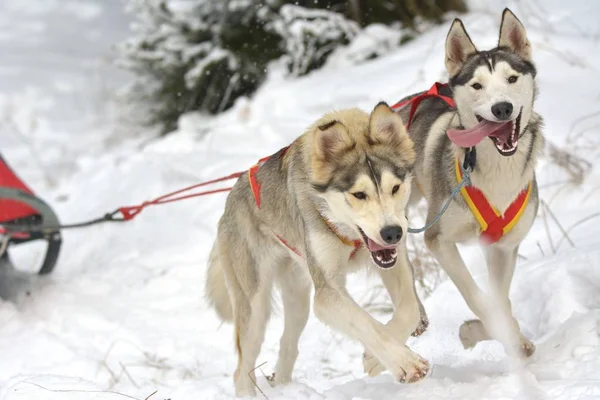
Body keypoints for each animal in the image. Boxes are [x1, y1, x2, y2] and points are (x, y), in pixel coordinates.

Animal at [205, 104, 426, 396]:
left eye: (395, 188)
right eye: (359, 195)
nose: (392, 232)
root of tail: (229, 202)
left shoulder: (393, 261)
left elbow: (409, 309)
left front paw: (374, 359)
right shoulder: (327, 294)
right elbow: (366, 323)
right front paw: (404, 362)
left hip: (298, 300)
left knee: (287, 346)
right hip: (255, 310)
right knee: (241, 372)